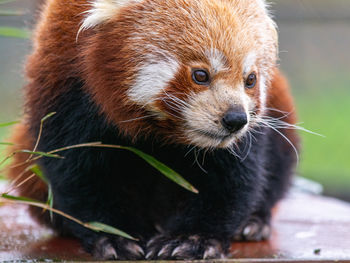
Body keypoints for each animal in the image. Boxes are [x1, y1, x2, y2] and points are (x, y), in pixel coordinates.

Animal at [6, 0, 298, 260]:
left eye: (250, 80)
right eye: (200, 75)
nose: (235, 119)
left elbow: (231, 179)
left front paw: (192, 239)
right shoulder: (67, 87)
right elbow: (80, 171)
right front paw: (116, 236)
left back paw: (254, 222)